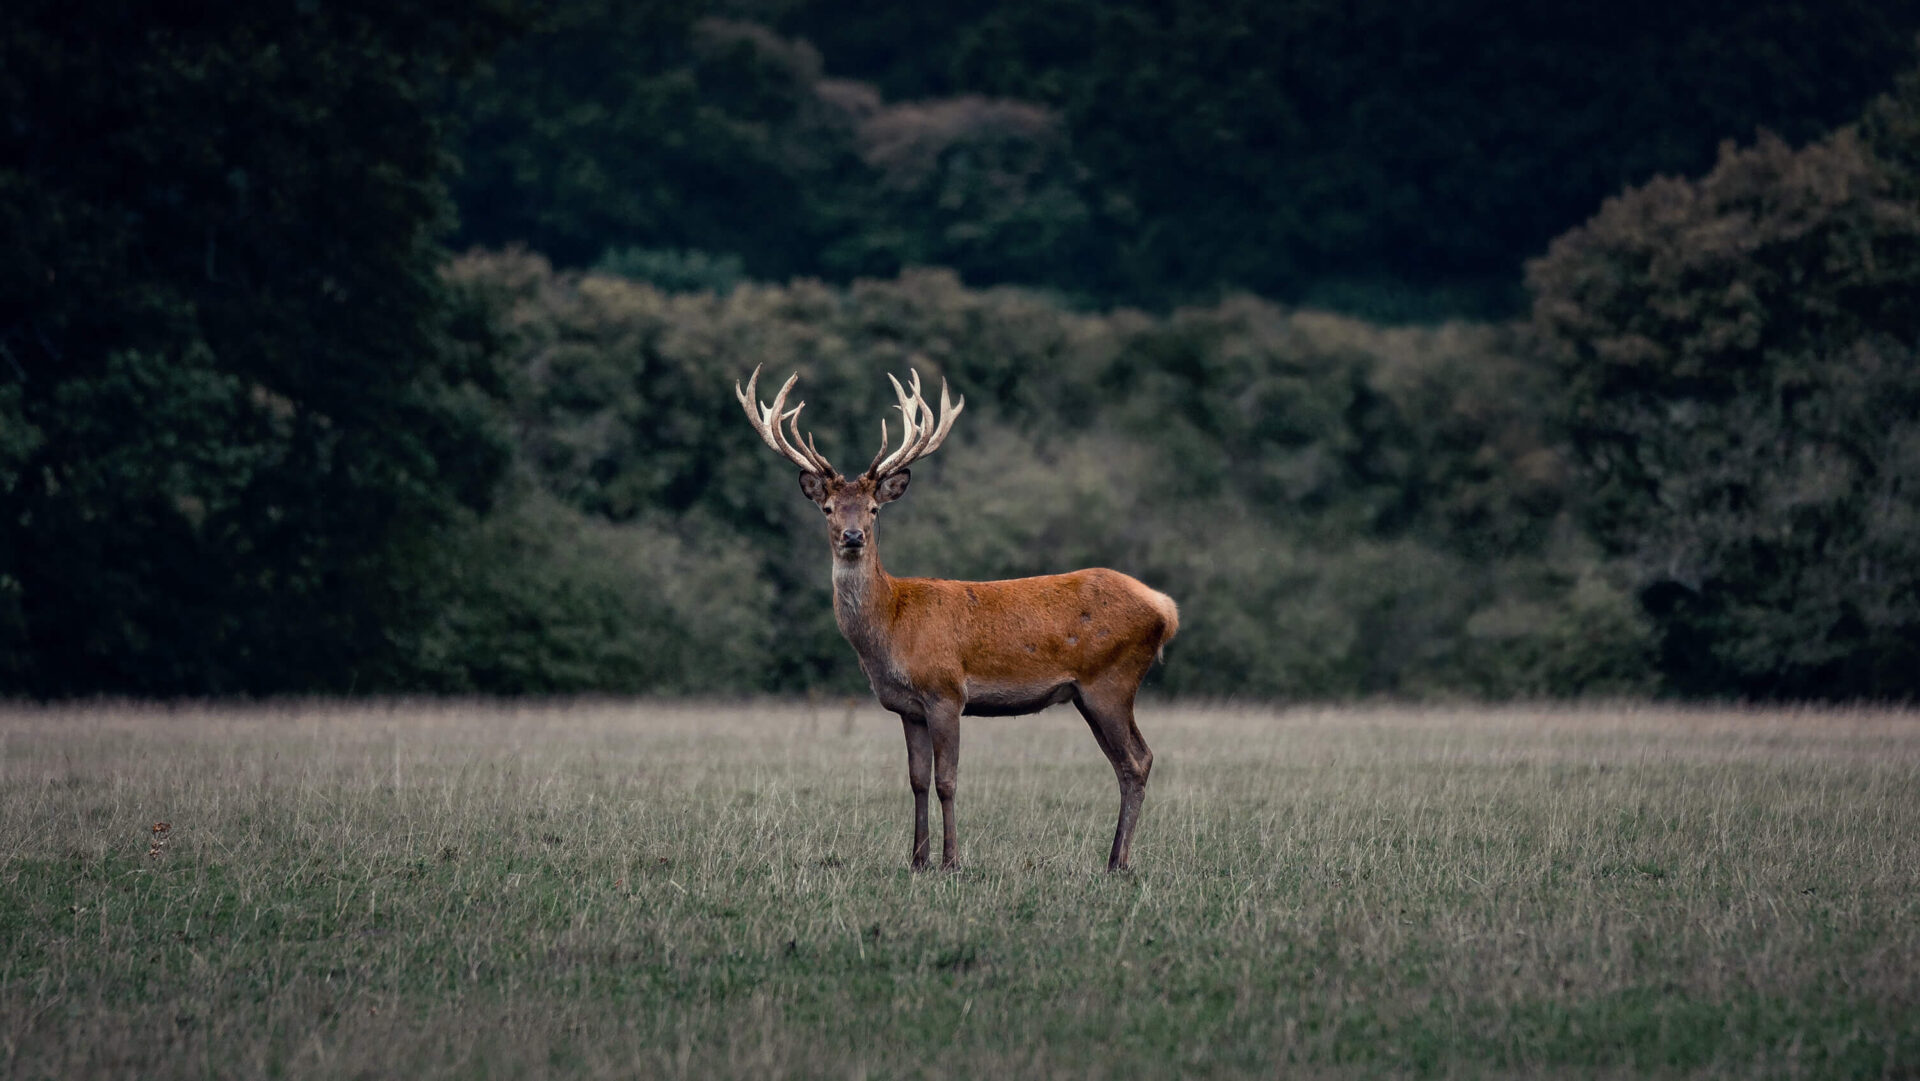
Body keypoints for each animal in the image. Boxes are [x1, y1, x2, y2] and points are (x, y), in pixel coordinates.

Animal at [735, 366, 1179, 872]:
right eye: (828, 508)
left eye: (873, 509)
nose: (852, 536)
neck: (892, 626)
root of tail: (1166, 609)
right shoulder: (907, 707)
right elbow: (917, 780)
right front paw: (917, 858)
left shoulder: (946, 691)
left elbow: (947, 780)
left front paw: (951, 861)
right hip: (1090, 694)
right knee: (1128, 762)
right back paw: (1113, 858)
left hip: (1112, 680)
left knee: (1137, 760)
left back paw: (1118, 862)